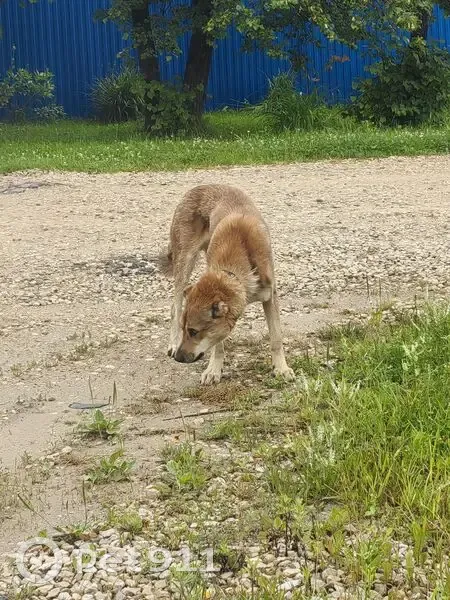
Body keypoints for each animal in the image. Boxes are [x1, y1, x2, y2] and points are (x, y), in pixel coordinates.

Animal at [166, 184, 295, 385]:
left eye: (193, 332)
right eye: (184, 329)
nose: (178, 358)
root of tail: (197, 188)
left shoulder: (270, 297)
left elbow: (276, 338)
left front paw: (281, 368)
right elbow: (218, 346)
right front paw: (213, 370)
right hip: (184, 262)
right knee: (175, 307)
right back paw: (173, 342)